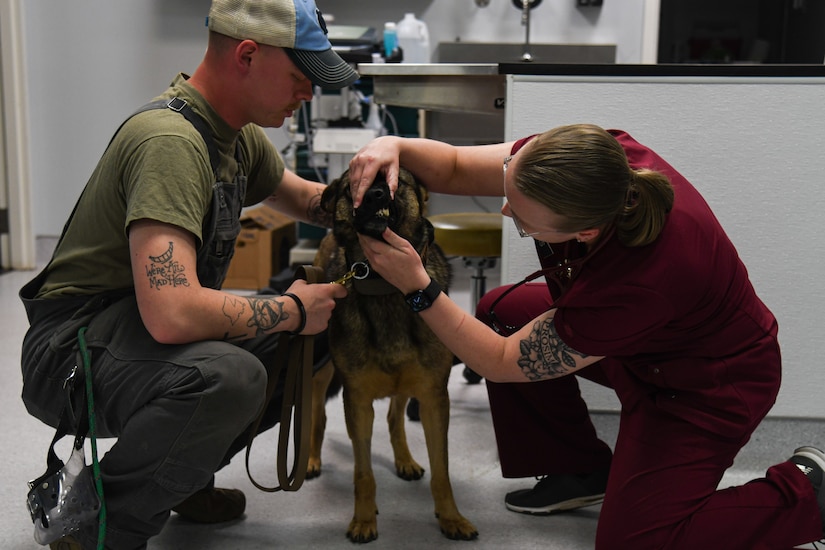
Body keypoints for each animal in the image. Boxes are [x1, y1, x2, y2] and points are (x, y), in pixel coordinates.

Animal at [308, 171, 476, 544]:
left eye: (392, 177)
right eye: (352, 185)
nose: (374, 195)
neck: (385, 285)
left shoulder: (433, 398)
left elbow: (441, 471)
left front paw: (451, 517)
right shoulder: (357, 401)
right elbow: (363, 473)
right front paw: (363, 519)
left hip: (406, 383)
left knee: (394, 417)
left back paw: (405, 460)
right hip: (319, 370)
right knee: (317, 417)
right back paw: (311, 459)